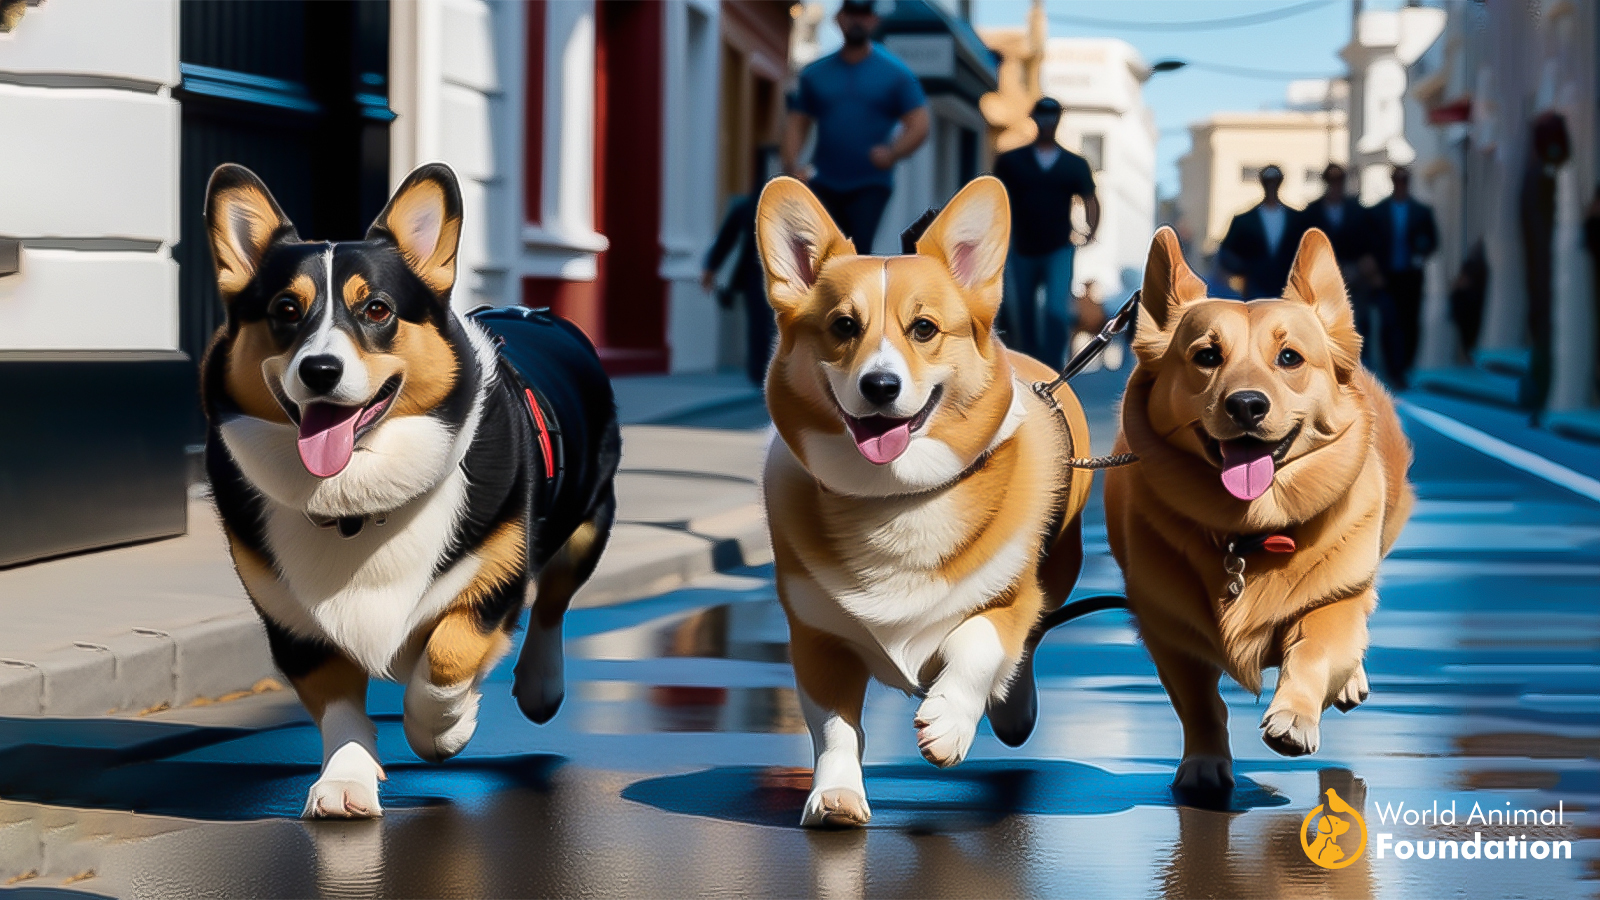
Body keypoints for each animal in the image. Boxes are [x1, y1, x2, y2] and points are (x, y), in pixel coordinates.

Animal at [755, 176, 1094, 826]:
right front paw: (836, 794)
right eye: (843, 326)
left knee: (1027, 643)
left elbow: (979, 640)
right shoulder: (816, 639)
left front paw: (948, 721)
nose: (880, 386)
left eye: (924, 330)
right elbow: (835, 728)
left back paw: (1010, 709)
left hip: (1058, 572)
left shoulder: (1011, 599)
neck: (896, 496)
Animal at [1107, 227, 1408, 794]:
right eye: (1206, 356)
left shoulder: (1334, 601)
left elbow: (1316, 648)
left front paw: (1294, 717)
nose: (1247, 405)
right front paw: (1204, 762)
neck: (1250, 530)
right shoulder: (1167, 632)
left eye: (1289, 358)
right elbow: (1199, 703)